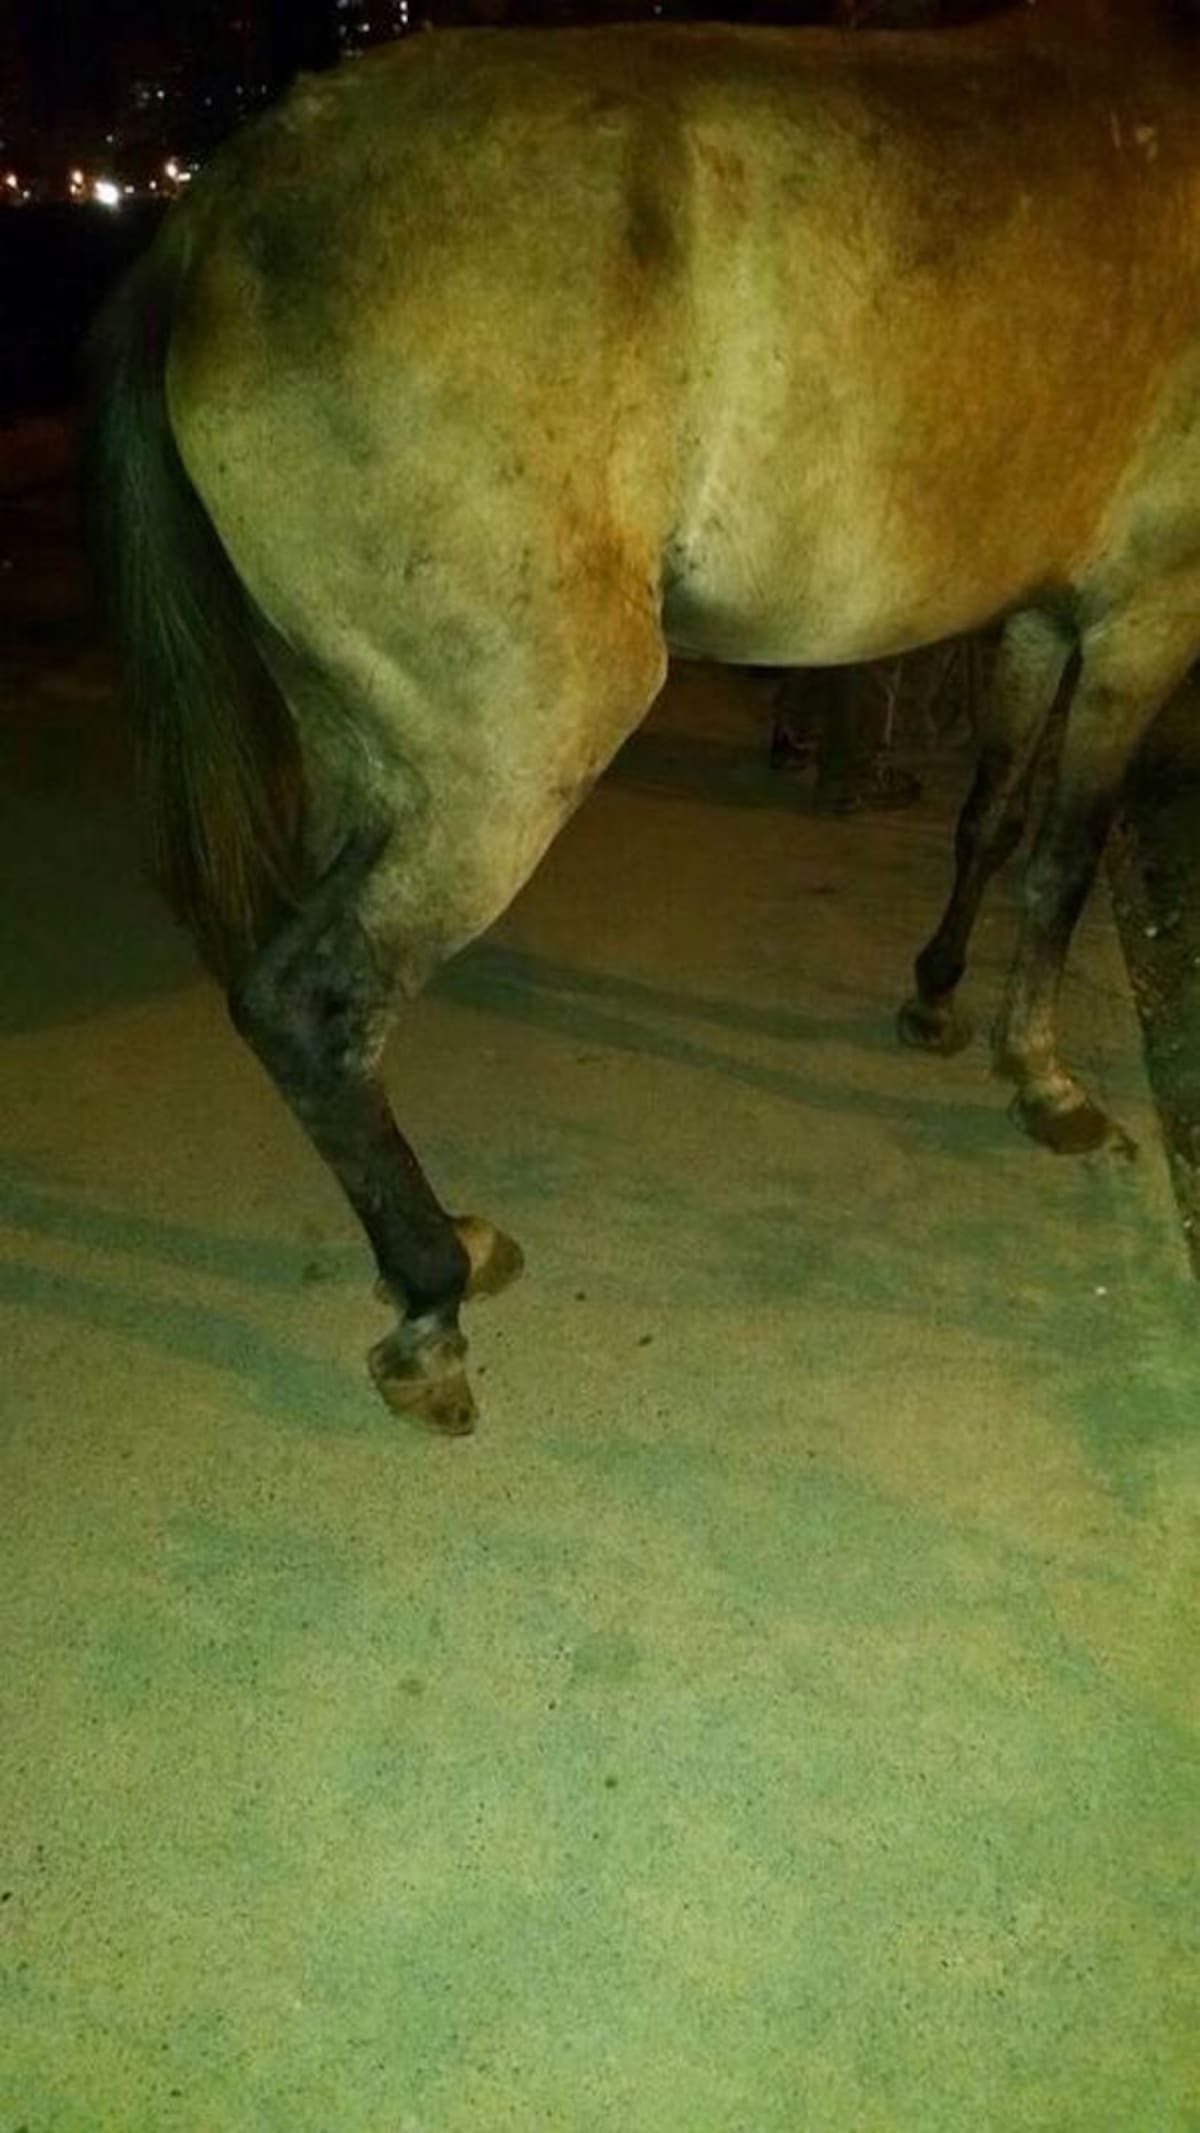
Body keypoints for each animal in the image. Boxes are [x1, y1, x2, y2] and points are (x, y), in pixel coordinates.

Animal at [87, 0, 1200, 1432]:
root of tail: (217, 207)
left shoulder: (1038, 614)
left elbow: (992, 819)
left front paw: (940, 997)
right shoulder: (1146, 615)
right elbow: (1064, 860)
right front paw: (1046, 1081)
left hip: (366, 742)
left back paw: (433, 1244)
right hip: (516, 755)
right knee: (313, 999)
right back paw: (431, 1292)